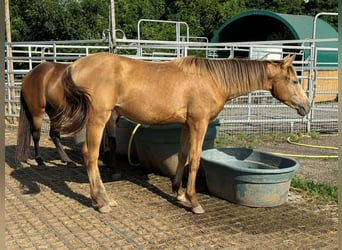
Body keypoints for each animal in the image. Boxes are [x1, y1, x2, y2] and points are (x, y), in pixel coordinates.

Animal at [52, 52, 310, 213]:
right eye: (294, 80)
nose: (306, 107)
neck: (213, 79)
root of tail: (75, 65)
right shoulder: (199, 123)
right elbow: (195, 159)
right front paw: (193, 200)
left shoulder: (187, 124)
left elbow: (183, 156)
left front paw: (178, 192)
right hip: (98, 117)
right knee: (91, 155)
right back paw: (101, 201)